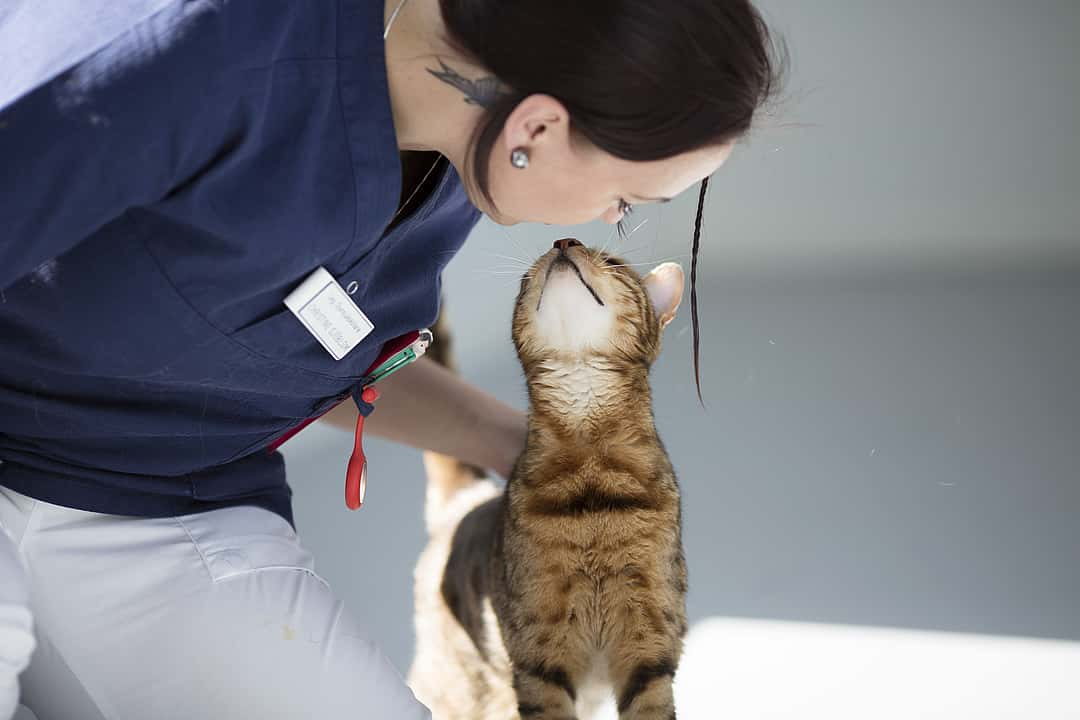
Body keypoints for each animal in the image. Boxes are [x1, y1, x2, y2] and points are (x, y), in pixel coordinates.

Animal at [408, 239, 686, 716]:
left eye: (614, 261)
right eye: (525, 279)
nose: (564, 240)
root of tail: (469, 502)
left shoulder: (649, 649)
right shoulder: (539, 660)